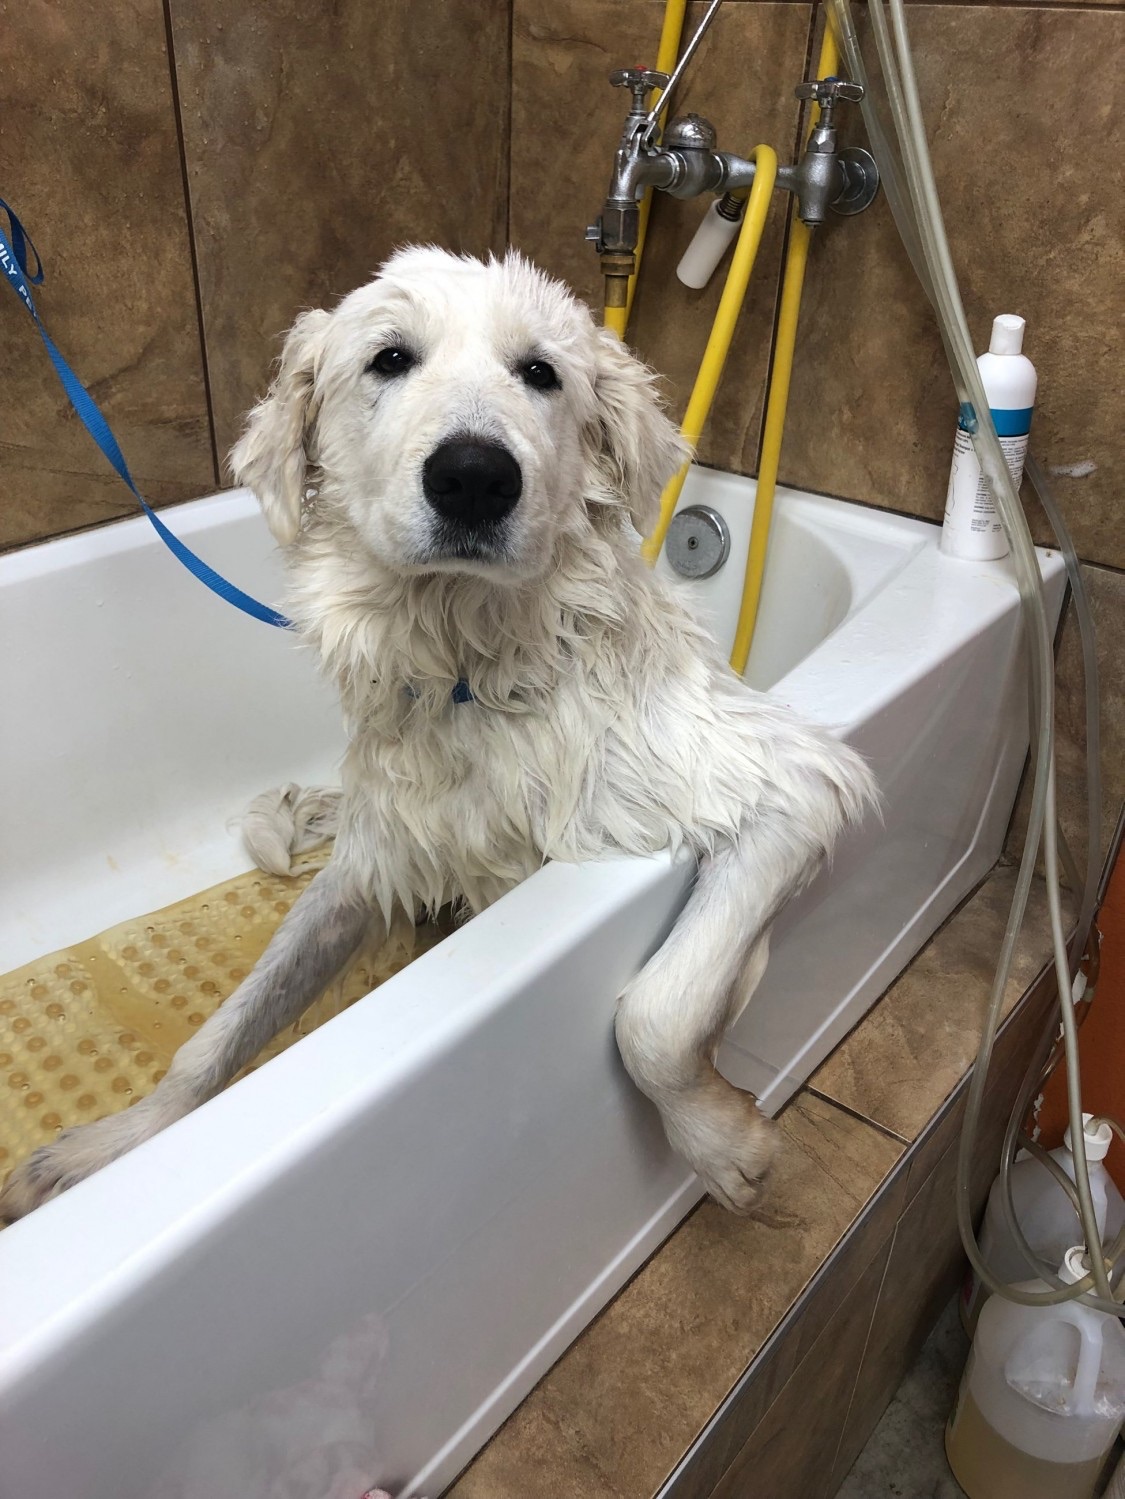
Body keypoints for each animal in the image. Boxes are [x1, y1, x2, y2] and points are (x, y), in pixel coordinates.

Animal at [0, 248, 874, 1217]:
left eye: (540, 371)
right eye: (389, 358)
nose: (474, 475)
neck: (472, 671)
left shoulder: (785, 780)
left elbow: (653, 1012)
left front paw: (720, 1143)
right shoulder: (373, 861)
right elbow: (214, 1039)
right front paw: (112, 1145)